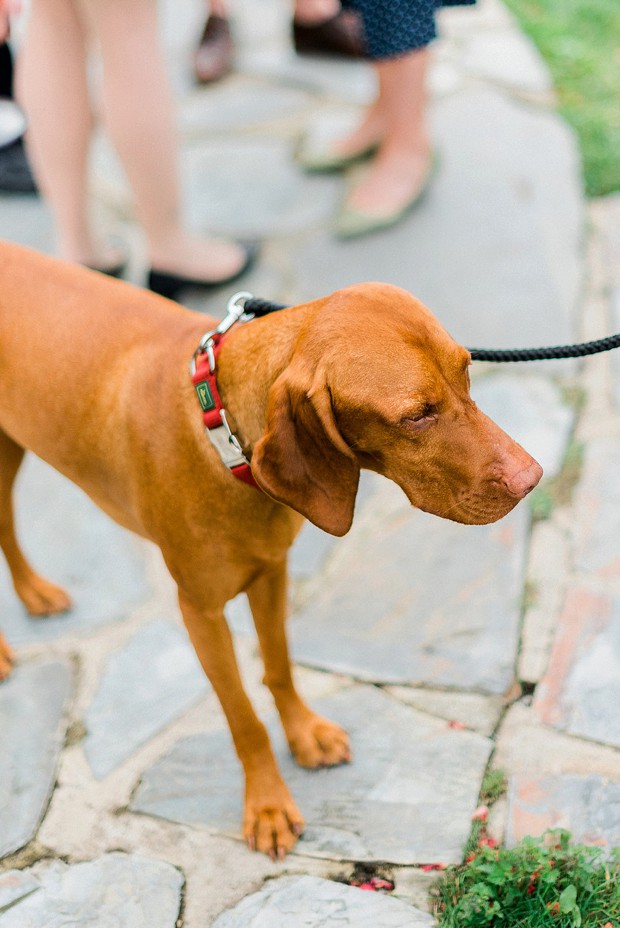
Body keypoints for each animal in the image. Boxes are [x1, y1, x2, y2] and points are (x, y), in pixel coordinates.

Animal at [0, 243, 540, 860]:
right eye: (415, 414)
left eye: (467, 371)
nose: (532, 478)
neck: (222, 437)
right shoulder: (200, 613)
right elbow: (243, 719)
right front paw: (267, 805)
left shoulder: (270, 573)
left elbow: (279, 667)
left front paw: (303, 734)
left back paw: (33, 592)